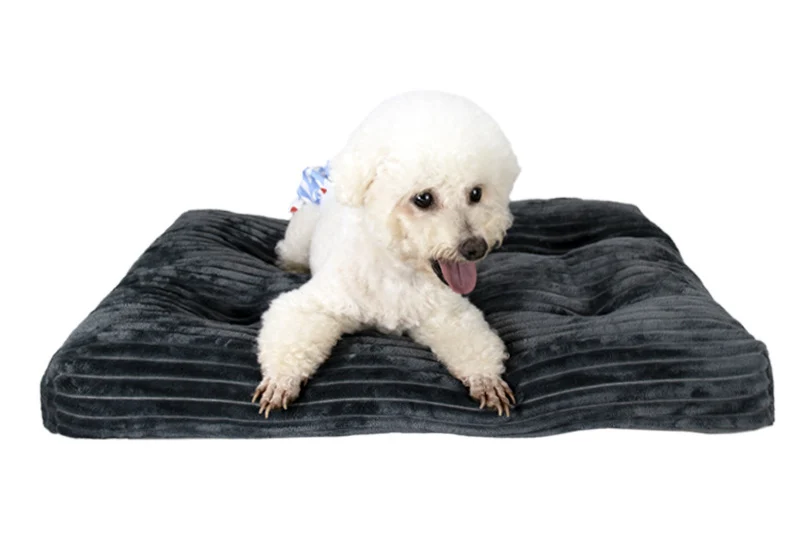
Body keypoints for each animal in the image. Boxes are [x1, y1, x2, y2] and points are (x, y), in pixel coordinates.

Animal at [253, 91, 521, 417]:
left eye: (476, 193)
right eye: (423, 198)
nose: (474, 248)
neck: (396, 270)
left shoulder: (447, 316)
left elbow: (473, 342)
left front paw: (487, 380)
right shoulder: (314, 305)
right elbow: (292, 330)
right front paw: (280, 381)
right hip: (300, 236)